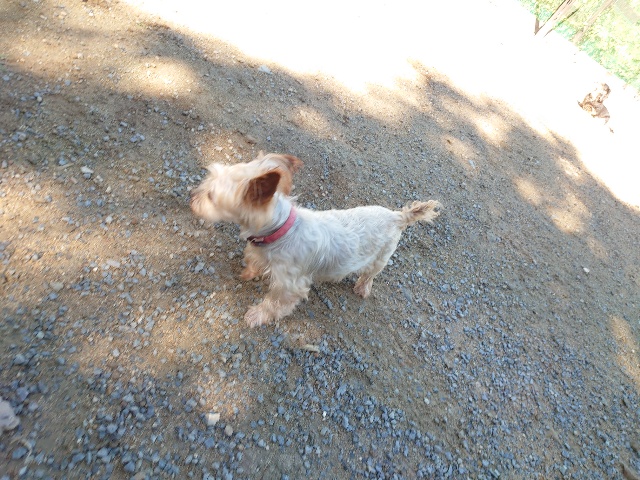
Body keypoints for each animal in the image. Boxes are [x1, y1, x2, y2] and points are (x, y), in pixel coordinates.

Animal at [190, 152, 441, 327]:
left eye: (211, 196)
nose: (192, 197)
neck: (281, 230)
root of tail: (397, 216)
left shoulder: (289, 284)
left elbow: (275, 302)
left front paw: (257, 315)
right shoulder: (259, 250)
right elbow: (253, 260)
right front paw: (248, 272)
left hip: (381, 256)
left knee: (370, 274)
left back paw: (362, 288)